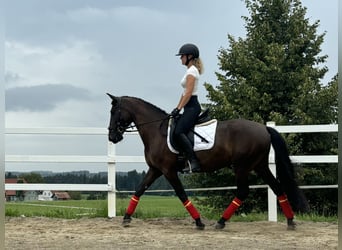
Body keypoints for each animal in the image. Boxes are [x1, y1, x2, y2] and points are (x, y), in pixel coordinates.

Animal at [107, 94, 308, 230]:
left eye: (114, 112)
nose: (112, 137)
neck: (156, 131)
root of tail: (264, 128)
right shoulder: (155, 169)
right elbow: (139, 190)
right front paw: (126, 218)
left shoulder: (168, 170)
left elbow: (181, 194)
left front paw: (199, 222)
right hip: (260, 166)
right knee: (277, 188)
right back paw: (290, 221)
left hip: (242, 167)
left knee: (243, 191)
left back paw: (221, 222)